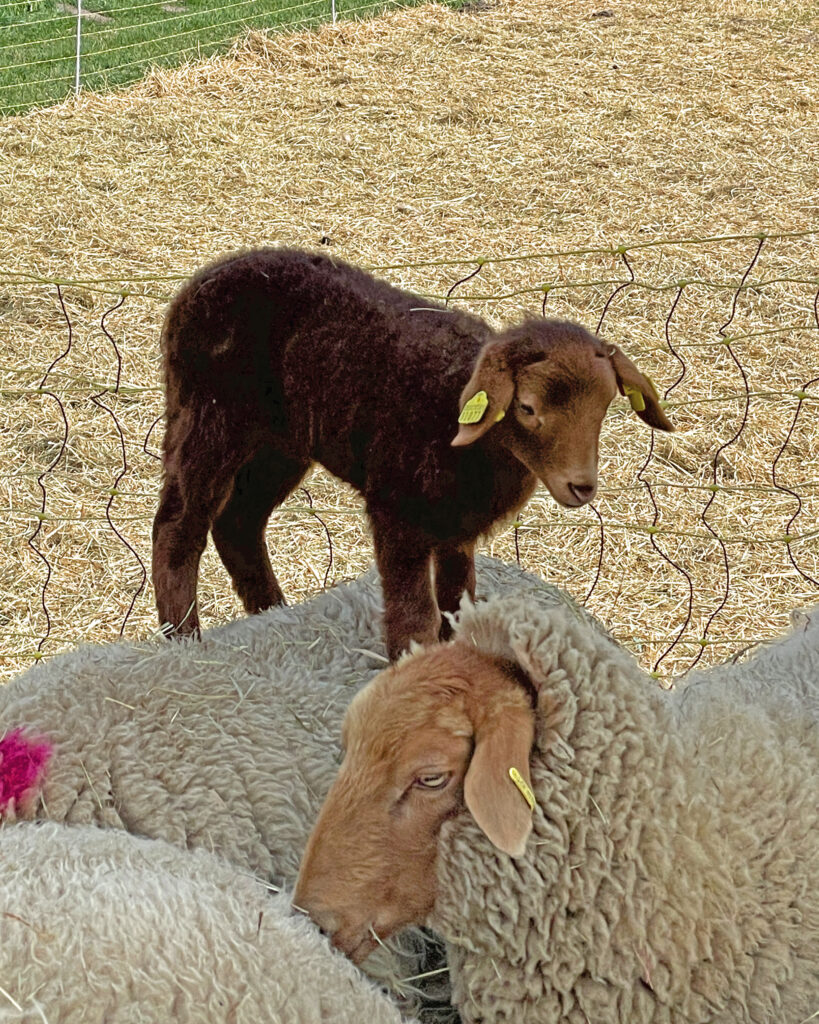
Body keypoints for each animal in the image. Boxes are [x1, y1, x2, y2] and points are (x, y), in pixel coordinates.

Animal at [152, 246, 673, 659]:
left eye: (605, 407)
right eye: (527, 408)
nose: (581, 486)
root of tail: (197, 284)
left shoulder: (455, 528)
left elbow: (457, 602)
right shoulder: (397, 511)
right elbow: (415, 616)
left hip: (280, 444)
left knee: (238, 522)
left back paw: (273, 614)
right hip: (210, 417)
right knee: (179, 526)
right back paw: (184, 639)